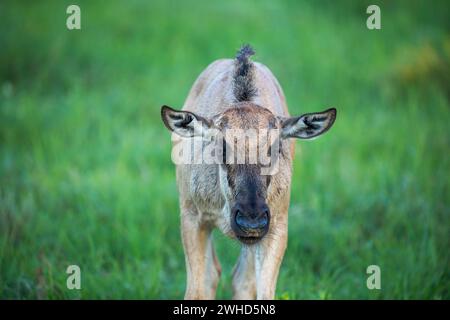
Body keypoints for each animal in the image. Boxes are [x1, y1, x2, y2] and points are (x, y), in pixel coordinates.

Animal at [160, 45, 336, 300]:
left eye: (275, 147)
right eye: (222, 146)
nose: (250, 221)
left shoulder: (276, 226)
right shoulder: (192, 216)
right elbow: (196, 291)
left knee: (240, 278)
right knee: (213, 275)